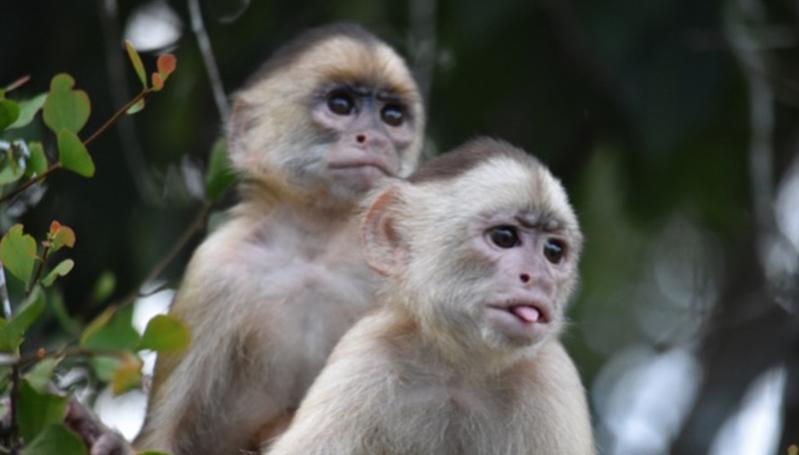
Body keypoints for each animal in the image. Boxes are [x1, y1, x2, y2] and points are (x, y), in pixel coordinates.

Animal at [133, 25, 424, 455]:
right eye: (341, 104)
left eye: (392, 116)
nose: (373, 137)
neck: (312, 253)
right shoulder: (213, 269)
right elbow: (160, 437)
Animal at [268, 139, 592, 455]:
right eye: (504, 237)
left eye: (553, 252)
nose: (539, 279)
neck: (458, 372)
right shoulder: (368, 353)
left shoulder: (550, 376)